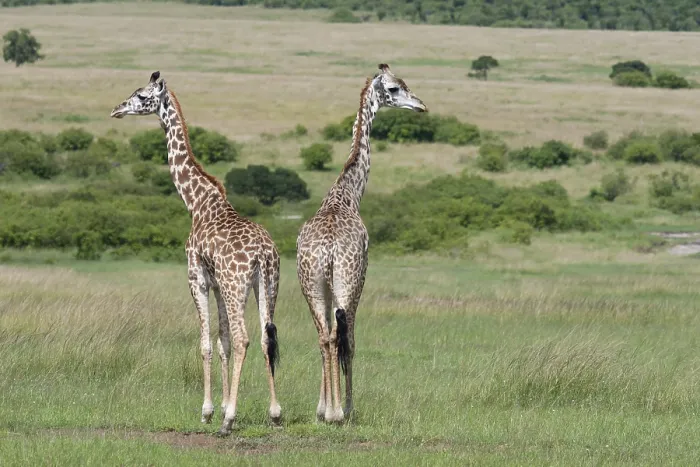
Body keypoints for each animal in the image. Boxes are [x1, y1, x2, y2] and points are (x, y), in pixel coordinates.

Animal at [110, 71, 281, 436]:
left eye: (141, 95)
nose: (116, 109)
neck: (197, 203)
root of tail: (263, 252)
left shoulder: (197, 278)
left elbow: (205, 343)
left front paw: (209, 412)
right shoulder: (216, 284)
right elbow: (222, 342)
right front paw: (221, 407)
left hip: (236, 285)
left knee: (245, 338)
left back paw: (229, 422)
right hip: (267, 285)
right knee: (264, 337)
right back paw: (275, 413)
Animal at [296, 64, 427, 423]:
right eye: (395, 88)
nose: (421, 105)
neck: (347, 194)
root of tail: (327, 251)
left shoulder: (324, 289)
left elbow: (327, 338)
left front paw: (321, 408)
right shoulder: (362, 278)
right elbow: (350, 342)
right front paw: (346, 408)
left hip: (312, 284)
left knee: (324, 336)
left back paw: (327, 410)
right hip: (347, 282)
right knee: (344, 337)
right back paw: (340, 412)